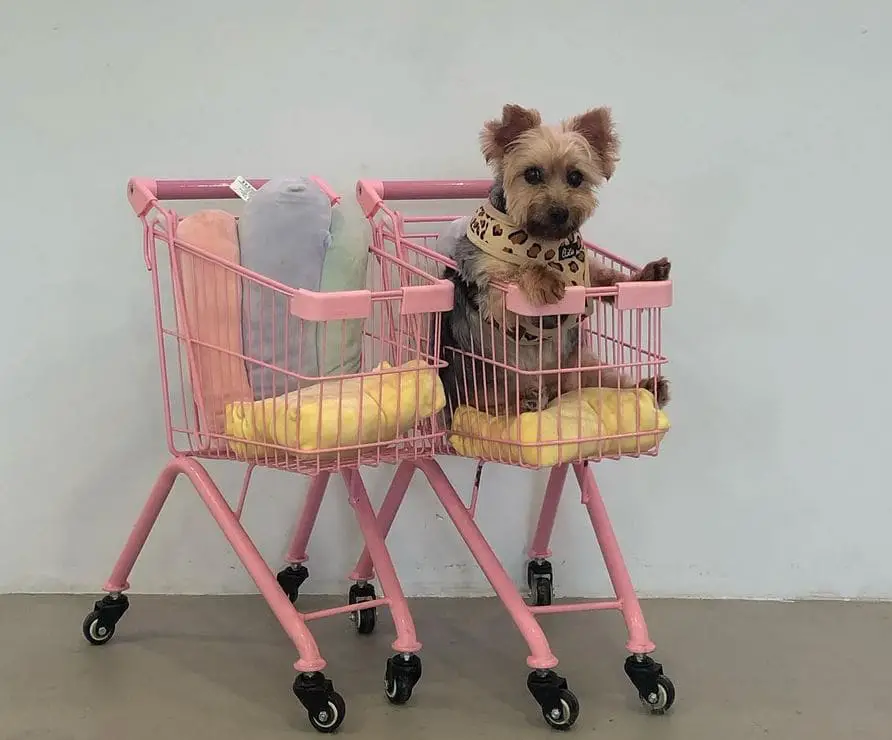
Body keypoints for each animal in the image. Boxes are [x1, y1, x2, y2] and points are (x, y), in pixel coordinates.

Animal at [436, 104, 672, 420]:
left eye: (575, 177)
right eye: (532, 174)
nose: (560, 212)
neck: (544, 243)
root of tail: (554, 385)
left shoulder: (586, 273)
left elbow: (608, 277)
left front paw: (647, 275)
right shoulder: (491, 288)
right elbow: (514, 276)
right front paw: (543, 279)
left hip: (582, 366)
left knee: (610, 383)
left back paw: (649, 386)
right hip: (479, 386)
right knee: (488, 405)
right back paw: (524, 401)